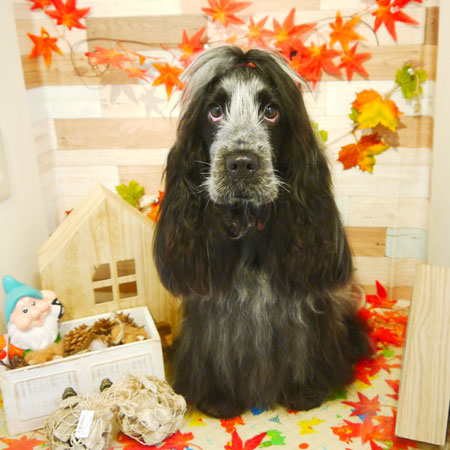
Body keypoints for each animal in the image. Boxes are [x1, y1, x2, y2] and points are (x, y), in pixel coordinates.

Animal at [154, 45, 371, 419]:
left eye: (271, 112)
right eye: (214, 111)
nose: (242, 163)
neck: (249, 229)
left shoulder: (305, 310)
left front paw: (305, 391)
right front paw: (219, 398)